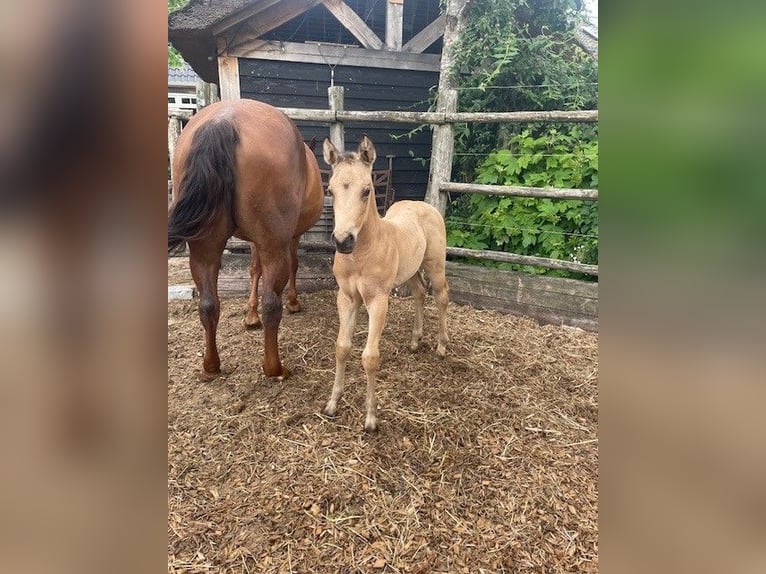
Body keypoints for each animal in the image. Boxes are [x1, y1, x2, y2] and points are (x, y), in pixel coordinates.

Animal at [168, 100, 324, 380]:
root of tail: (223, 121)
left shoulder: (255, 241)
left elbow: (254, 270)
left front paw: (250, 316)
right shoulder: (290, 237)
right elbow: (291, 266)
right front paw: (293, 301)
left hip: (205, 246)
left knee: (208, 304)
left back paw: (211, 365)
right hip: (273, 245)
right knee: (271, 304)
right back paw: (274, 368)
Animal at [322, 136, 450, 432]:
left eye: (366, 191)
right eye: (330, 190)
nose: (343, 241)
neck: (360, 256)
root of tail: (424, 205)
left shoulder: (378, 301)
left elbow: (370, 357)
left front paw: (370, 418)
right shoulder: (346, 298)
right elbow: (342, 347)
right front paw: (333, 404)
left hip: (435, 265)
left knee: (441, 296)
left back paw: (441, 345)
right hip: (411, 269)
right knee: (419, 293)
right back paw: (415, 341)